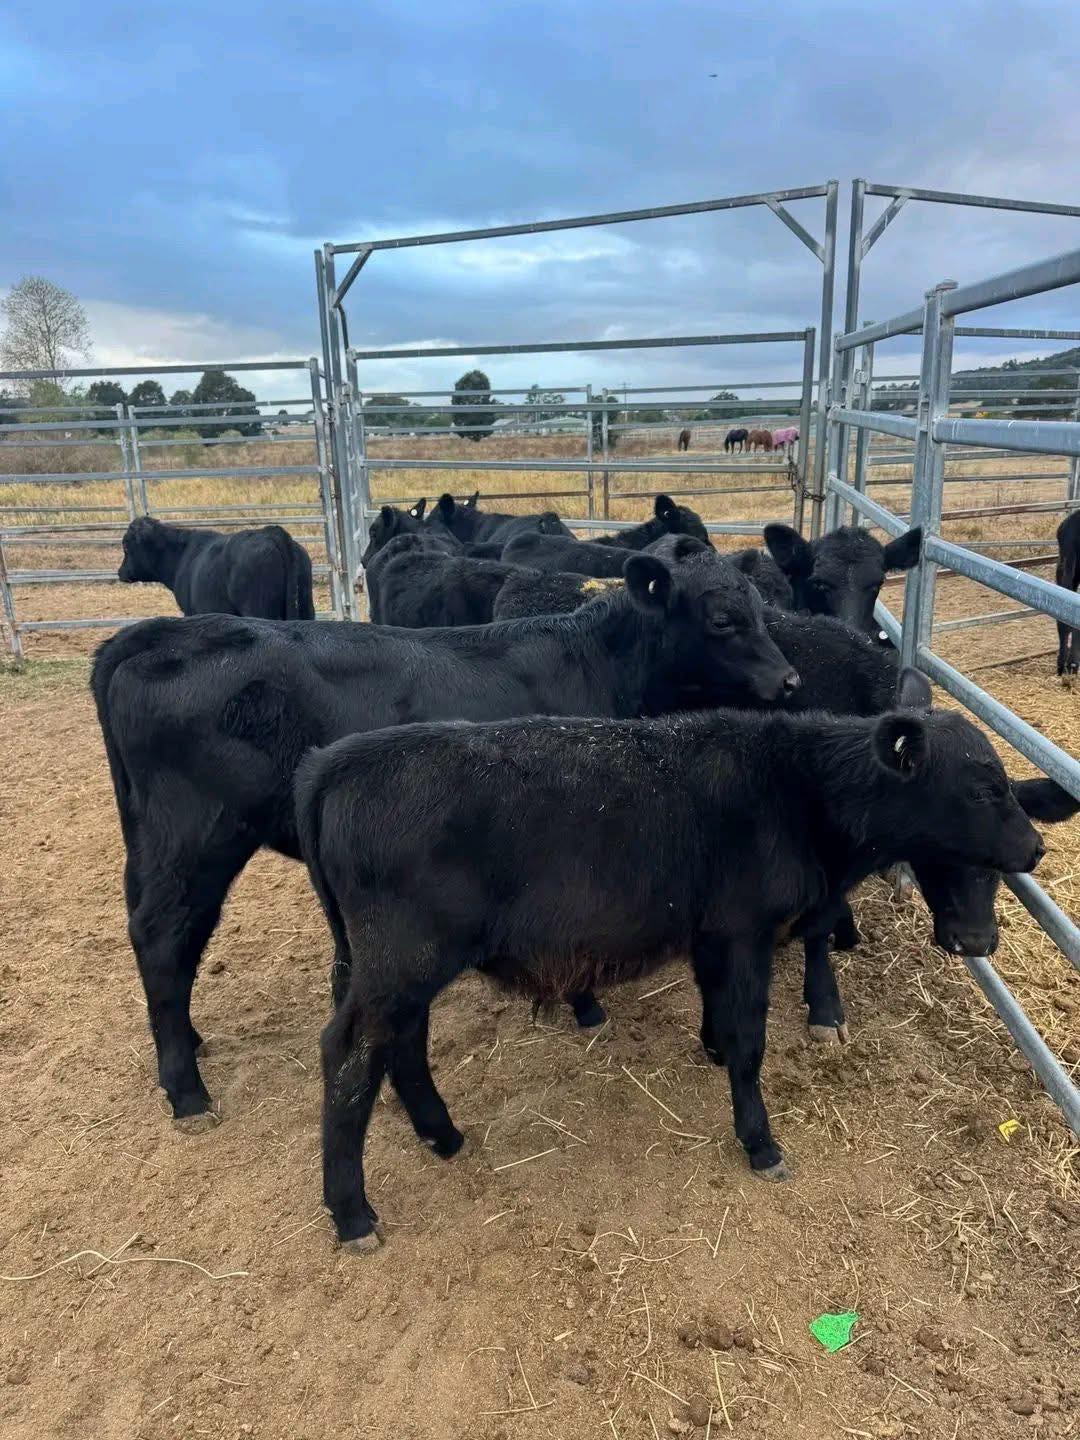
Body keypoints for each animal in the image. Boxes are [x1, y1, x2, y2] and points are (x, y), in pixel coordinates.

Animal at [91, 553, 797, 1123]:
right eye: (723, 619)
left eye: (761, 610)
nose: (789, 680)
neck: (592, 663)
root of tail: (159, 632)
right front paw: (585, 1003)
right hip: (197, 837)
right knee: (164, 934)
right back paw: (187, 1090)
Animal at [296, 695, 1045, 1248]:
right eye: (983, 787)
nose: (1036, 847)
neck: (794, 787)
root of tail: (338, 759)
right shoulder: (745, 933)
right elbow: (750, 1040)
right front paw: (760, 1141)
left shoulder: (712, 935)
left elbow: (718, 1014)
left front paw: (712, 1051)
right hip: (401, 961)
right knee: (349, 1052)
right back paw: (352, 1212)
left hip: (389, 966)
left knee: (402, 1044)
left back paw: (441, 1135)